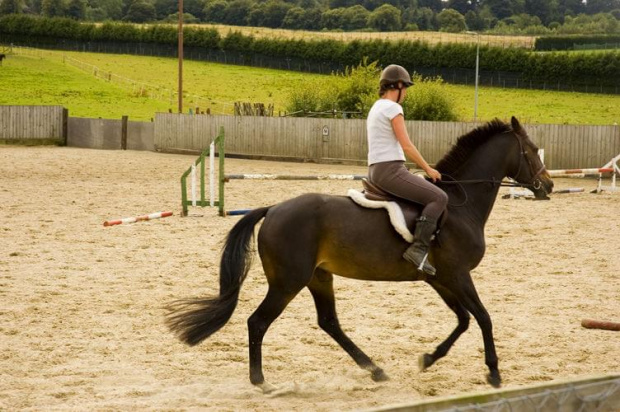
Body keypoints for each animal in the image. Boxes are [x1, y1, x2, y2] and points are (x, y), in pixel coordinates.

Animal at [165, 116, 552, 392]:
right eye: (532, 150)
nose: (547, 185)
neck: (460, 204)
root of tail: (273, 209)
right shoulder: (458, 275)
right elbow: (483, 317)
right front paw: (494, 373)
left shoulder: (441, 279)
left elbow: (463, 320)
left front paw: (428, 359)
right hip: (289, 281)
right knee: (258, 322)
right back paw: (261, 382)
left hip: (319, 277)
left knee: (329, 322)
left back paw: (375, 370)